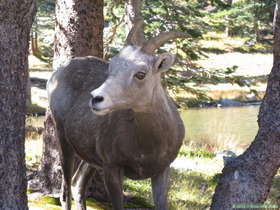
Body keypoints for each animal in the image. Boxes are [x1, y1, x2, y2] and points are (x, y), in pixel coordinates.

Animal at [48, 18, 186, 210]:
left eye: (141, 74)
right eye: (111, 66)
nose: (96, 98)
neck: (148, 145)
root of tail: (57, 73)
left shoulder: (162, 171)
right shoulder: (112, 169)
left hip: (91, 160)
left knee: (78, 185)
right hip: (64, 141)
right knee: (67, 189)